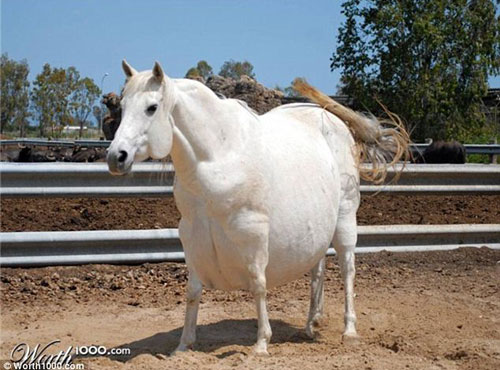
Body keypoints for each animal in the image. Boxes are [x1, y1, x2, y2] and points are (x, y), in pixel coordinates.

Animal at [107, 60, 408, 356]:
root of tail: (333, 119)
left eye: (152, 107)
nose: (115, 157)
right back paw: (311, 324)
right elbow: (192, 291)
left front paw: (262, 343)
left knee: (347, 269)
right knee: (317, 270)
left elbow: (258, 284)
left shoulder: (253, 233)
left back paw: (349, 331)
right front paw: (183, 346)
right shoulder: (191, 236)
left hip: (345, 219)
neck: (219, 157)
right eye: (122, 107)